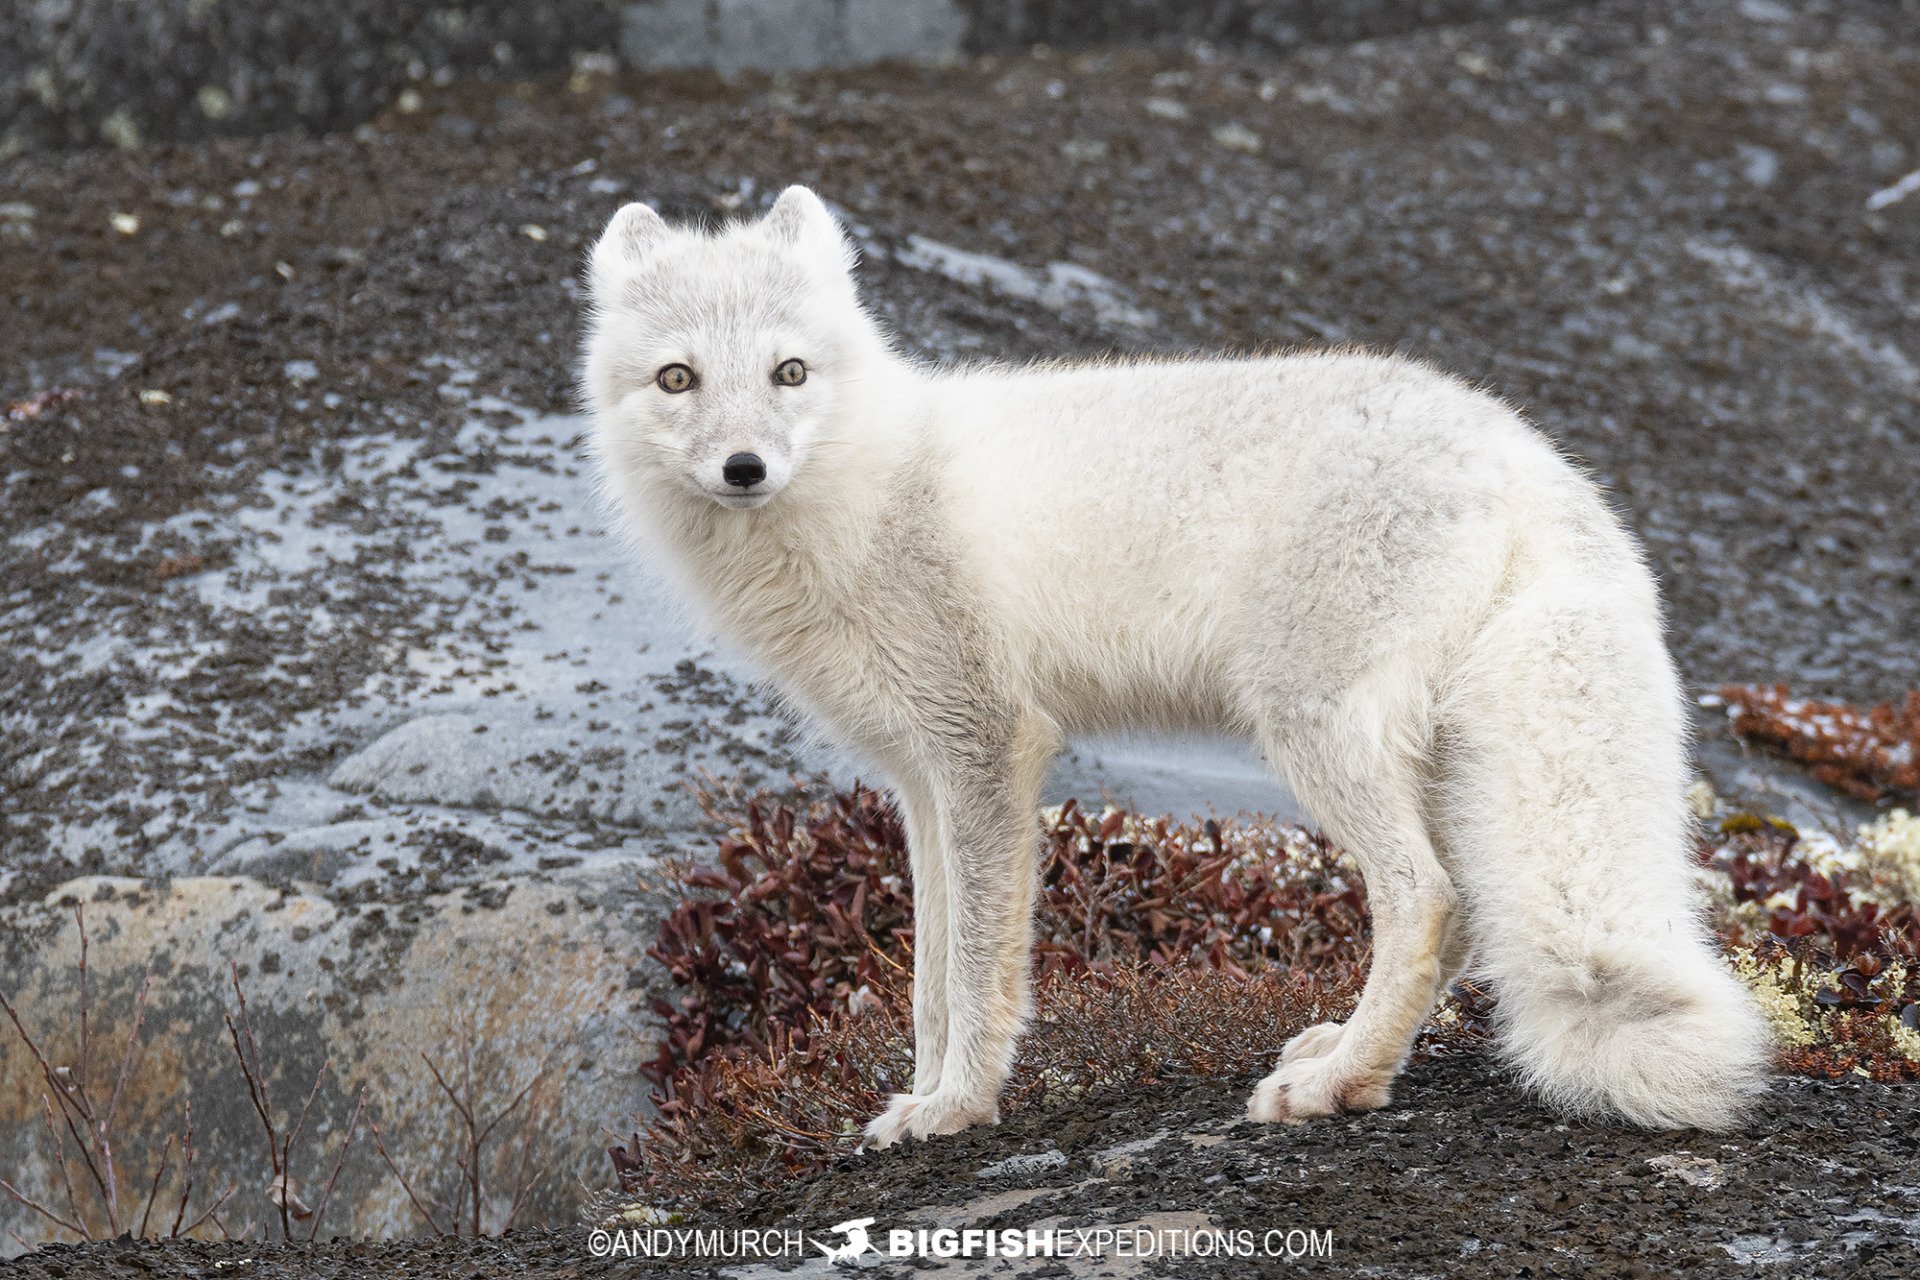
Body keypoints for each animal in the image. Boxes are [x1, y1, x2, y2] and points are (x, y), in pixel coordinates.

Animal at [579, 185, 1771, 1148]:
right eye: (678, 378)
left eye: (789, 372)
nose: (745, 467)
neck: (868, 490)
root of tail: (1522, 448)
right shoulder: (918, 775)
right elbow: (926, 976)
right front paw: (921, 1092)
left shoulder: (988, 746)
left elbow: (977, 968)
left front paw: (960, 1103)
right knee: (1468, 908)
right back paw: (1348, 1054)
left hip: (1311, 725)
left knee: (1427, 899)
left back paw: (1338, 1084)